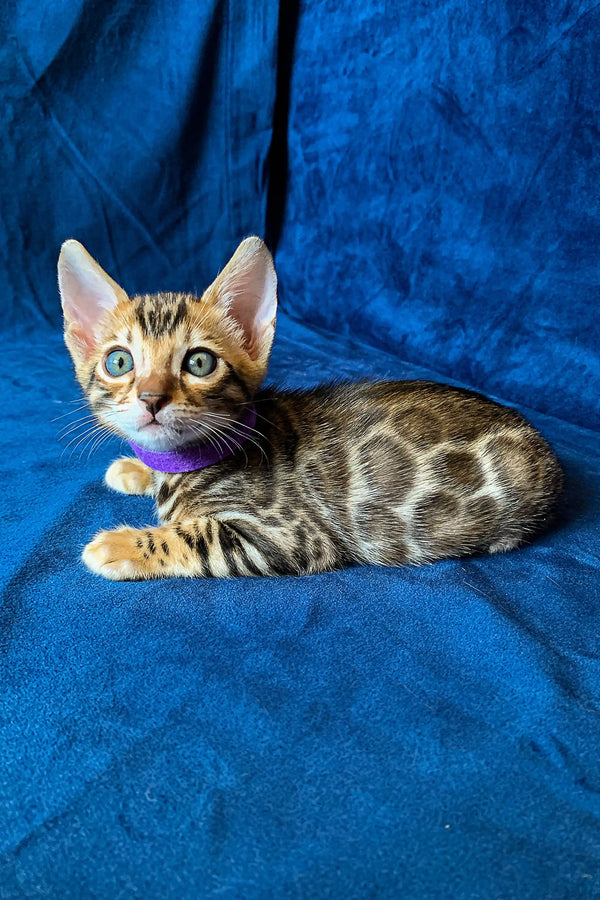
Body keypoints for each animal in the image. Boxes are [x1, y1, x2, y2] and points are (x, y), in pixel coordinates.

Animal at [57, 236, 564, 580]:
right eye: (120, 362)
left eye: (199, 362)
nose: (151, 398)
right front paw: (134, 467)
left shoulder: (291, 534)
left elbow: (197, 534)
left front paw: (119, 545)